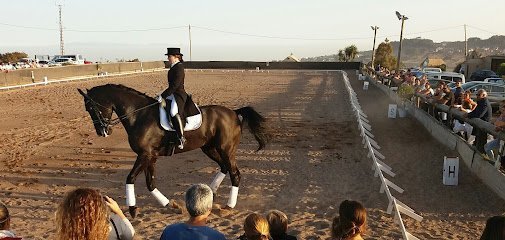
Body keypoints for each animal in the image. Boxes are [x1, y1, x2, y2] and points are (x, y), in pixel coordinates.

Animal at [77, 83, 270, 217]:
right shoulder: (150, 156)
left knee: (235, 173)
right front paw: (171, 205)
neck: (138, 115)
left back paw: (228, 206)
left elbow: (130, 178)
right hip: (209, 148)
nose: (102, 131)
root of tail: (234, 113)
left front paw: (132, 209)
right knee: (224, 168)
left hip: (226, 149)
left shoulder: (145, 155)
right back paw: (210, 193)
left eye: (91, 107)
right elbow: (150, 183)